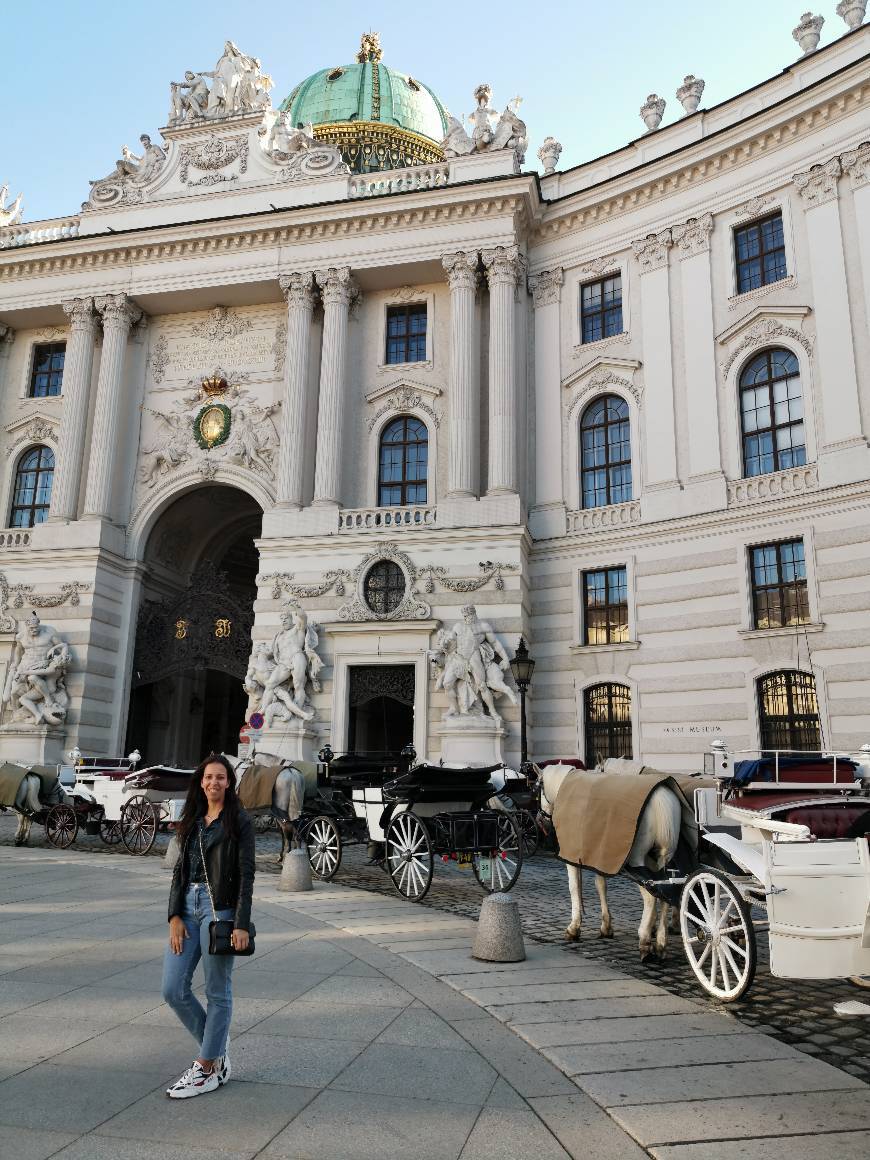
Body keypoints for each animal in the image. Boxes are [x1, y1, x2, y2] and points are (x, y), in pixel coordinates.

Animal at [542, 760, 686, 960]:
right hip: (661, 860)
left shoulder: (571, 857)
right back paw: (661, 942)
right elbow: (601, 885)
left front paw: (574, 928)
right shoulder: (599, 857)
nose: (542, 820)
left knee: (651, 896)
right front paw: (606, 926)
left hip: (637, 860)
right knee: (665, 893)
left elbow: (574, 888)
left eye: (538, 789)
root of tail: (661, 800)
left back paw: (645, 940)